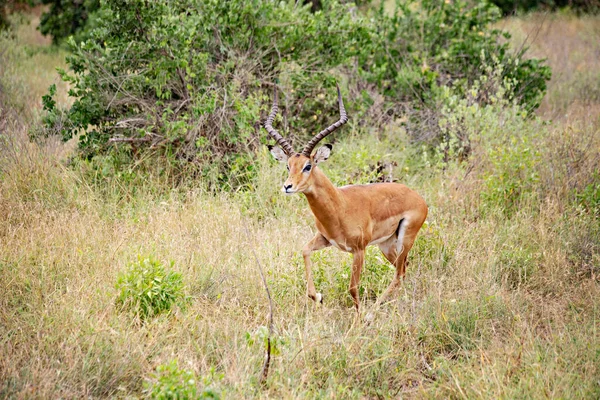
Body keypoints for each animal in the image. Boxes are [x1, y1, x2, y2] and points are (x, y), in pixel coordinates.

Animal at [266, 86, 426, 314]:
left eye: (308, 166)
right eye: (288, 165)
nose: (288, 187)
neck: (339, 206)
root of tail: (418, 198)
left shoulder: (359, 250)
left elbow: (352, 287)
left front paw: (358, 320)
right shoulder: (325, 239)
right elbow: (304, 251)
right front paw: (318, 297)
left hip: (404, 239)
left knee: (398, 274)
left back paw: (371, 315)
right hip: (387, 245)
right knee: (403, 270)